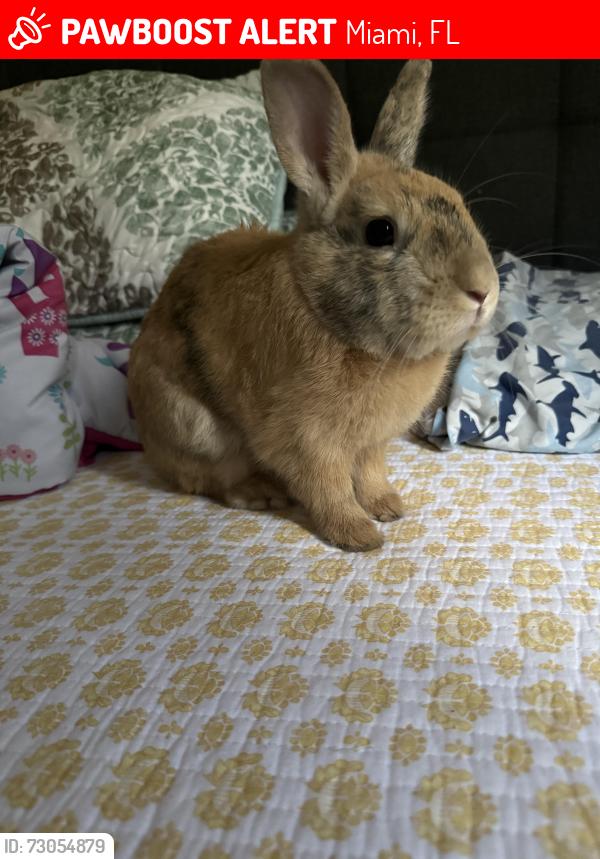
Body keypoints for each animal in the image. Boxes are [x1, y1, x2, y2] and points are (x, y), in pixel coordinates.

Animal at [128, 59, 499, 552]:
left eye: (459, 204)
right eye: (380, 231)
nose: (483, 290)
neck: (326, 313)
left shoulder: (370, 444)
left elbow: (370, 474)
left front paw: (388, 508)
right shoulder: (304, 442)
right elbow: (329, 489)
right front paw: (359, 535)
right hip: (198, 429)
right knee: (209, 478)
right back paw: (261, 494)